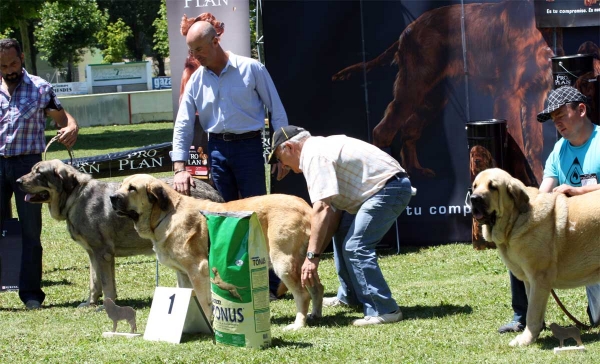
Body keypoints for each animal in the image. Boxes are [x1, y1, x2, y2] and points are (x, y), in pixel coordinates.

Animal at [109, 173, 322, 330]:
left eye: (132, 188)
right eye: (121, 185)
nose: (112, 198)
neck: (166, 214)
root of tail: (305, 205)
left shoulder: (198, 269)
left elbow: (204, 301)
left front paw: (209, 324)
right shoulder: (183, 274)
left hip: (283, 262)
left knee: (303, 294)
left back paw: (298, 324)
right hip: (303, 263)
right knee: (317, 287)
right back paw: (315, 315)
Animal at [472, 168, 600, 346]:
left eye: (493, 187)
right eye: (474, 186)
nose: (473, 199)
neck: (515, 220)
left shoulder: (539, 278)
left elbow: (532, 311)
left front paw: (526, 339)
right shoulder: (529, 280)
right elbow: (532, 308)